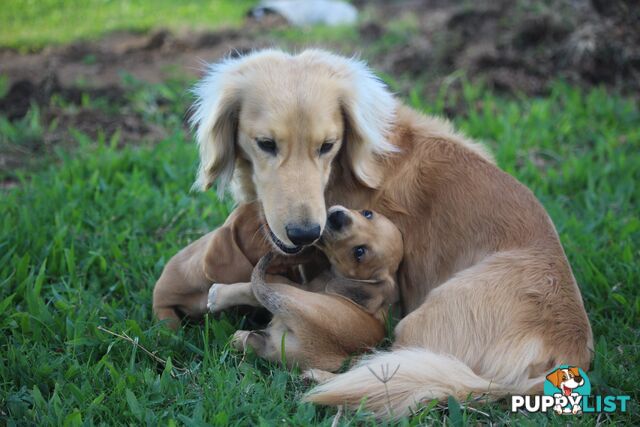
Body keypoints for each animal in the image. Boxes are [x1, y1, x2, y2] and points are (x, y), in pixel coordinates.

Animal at [215, 206, 402, 372]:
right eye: (367, 213)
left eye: (359, 252)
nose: (338, 218)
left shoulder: (304, 286)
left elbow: (254, 288)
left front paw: (217, 294)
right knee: (251, 340)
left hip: (292, 295)